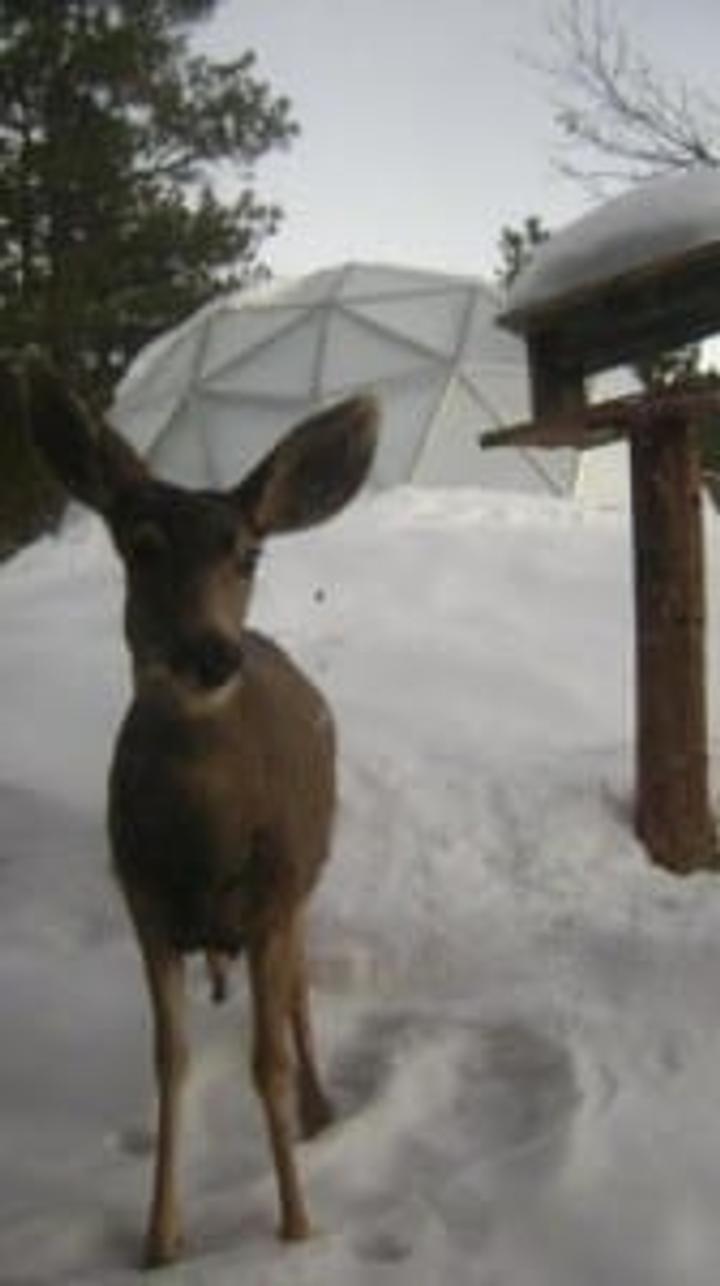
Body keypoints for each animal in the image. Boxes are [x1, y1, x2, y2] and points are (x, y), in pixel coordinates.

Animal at [19, 351, 378, 1268]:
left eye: (247, 554)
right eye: (141, 546)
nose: (212, 655)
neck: (202, 850)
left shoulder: (276, 896)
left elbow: (266, 1061)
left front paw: (296, 1228)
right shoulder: (143, 905)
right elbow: (169, 1060)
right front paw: (159, 1240)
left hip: (304, 882)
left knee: (296, 1002)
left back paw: (320, 1110)